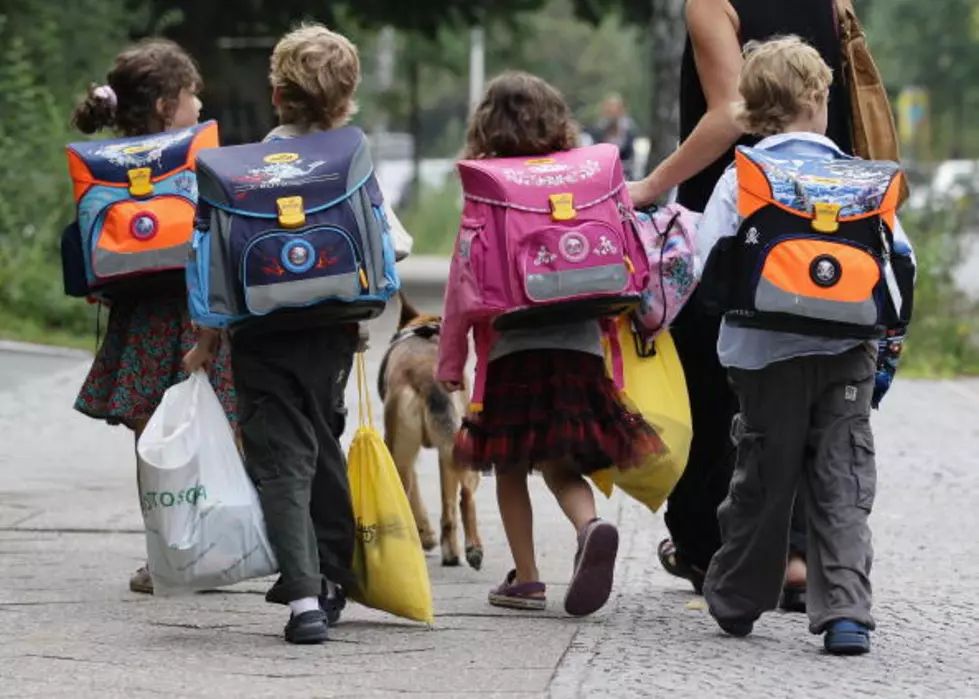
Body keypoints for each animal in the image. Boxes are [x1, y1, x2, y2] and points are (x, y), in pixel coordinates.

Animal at [378, 292, 484, 572]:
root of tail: (425, 378)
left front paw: (426, 535)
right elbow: (449, 506)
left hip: (399, 453)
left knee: (406, 494)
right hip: (457, 448)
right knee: (466, 496)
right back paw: (471, 549)